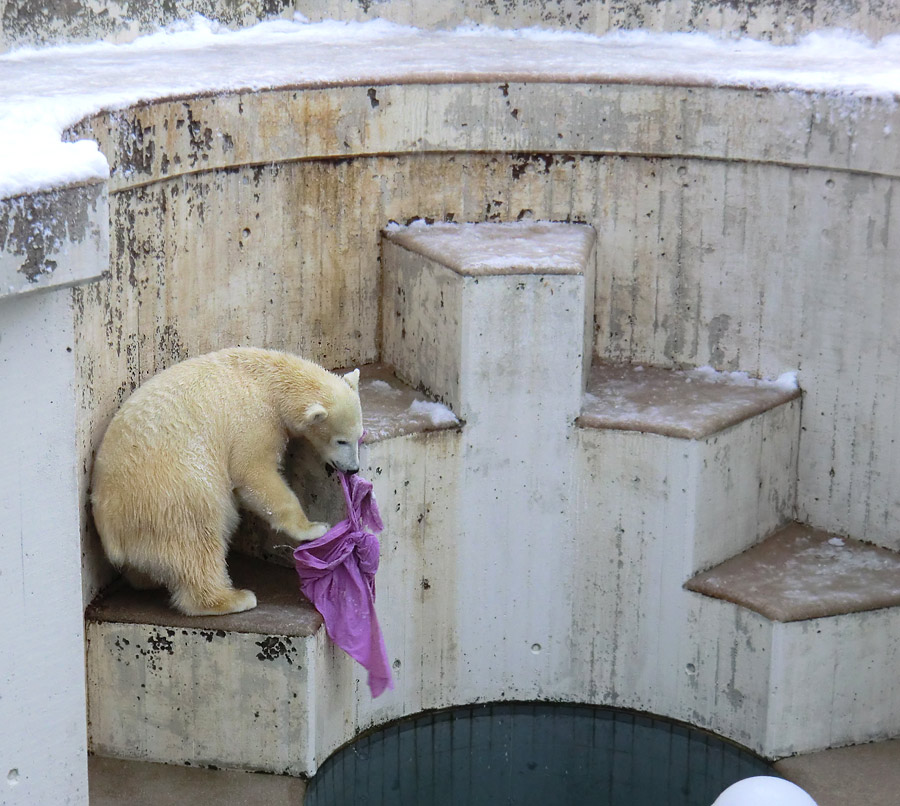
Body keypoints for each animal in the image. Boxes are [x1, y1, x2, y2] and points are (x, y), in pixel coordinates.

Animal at [93, 348, 364, 620]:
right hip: (173, 493)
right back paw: (234, 598)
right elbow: (253, 472)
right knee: (196, 539)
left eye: (358, 437)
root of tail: (111, 532)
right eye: (340, 441)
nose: (353, 469)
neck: (270, 380)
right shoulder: (255, 419)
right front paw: (313, 527)